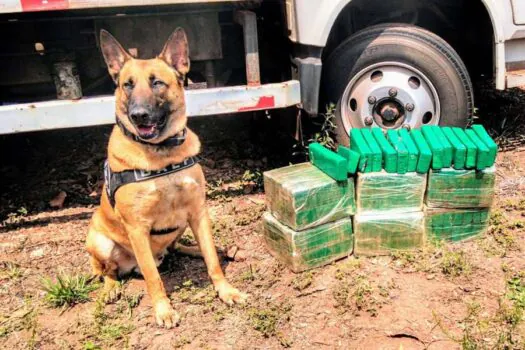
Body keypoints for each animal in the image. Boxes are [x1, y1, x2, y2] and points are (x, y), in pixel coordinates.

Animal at [86, 27, 248, 328]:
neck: (162, 156)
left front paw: (226, 291)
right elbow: (153, 278)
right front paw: (163, 310)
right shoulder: (137, 228)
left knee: (179, 247)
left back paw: (208, 249)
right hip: (100, 242)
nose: (138, 115)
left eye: (157, 83)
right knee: (108, 271)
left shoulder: (198, 211)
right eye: (127, 85)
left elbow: (211, 260)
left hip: (182, 226)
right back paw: (111, 287)